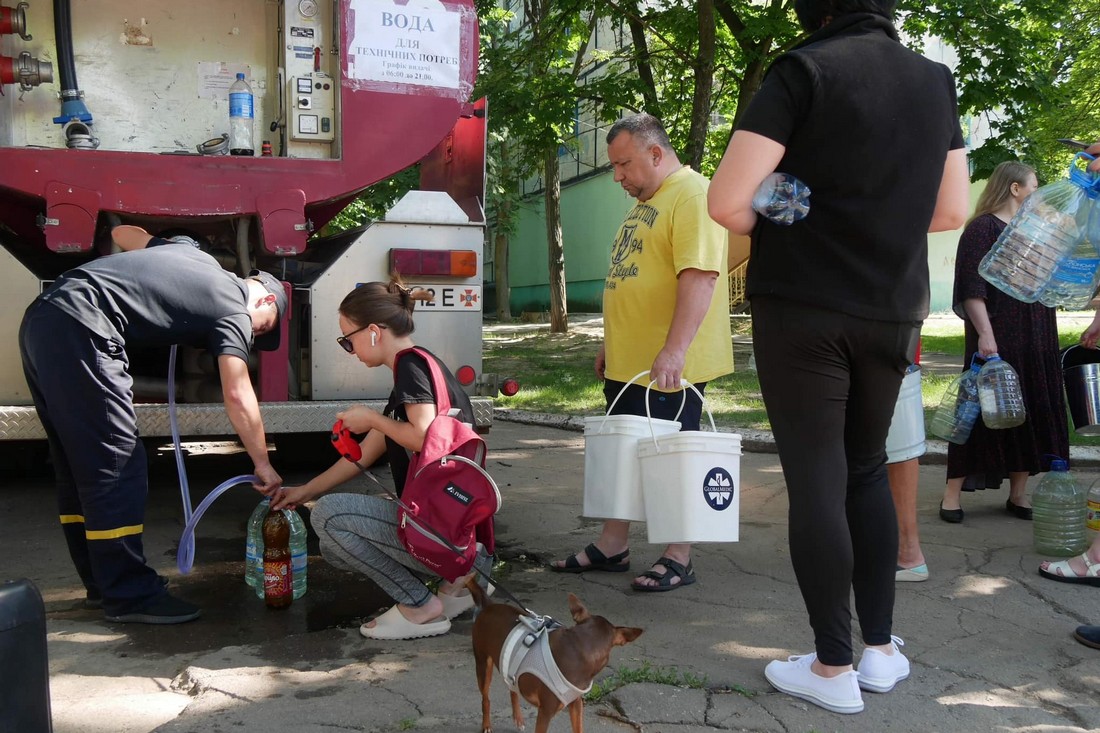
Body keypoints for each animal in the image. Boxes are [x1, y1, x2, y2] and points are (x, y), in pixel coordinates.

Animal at [466, 576, 642, 730]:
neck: (578, 649)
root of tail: (488, 605)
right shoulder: (545, 713)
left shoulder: (576, 704)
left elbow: (578, 728)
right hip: (483, 665)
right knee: (486, 699)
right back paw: (486, 725)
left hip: (510, 665)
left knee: (512, 688)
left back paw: (518, 718)